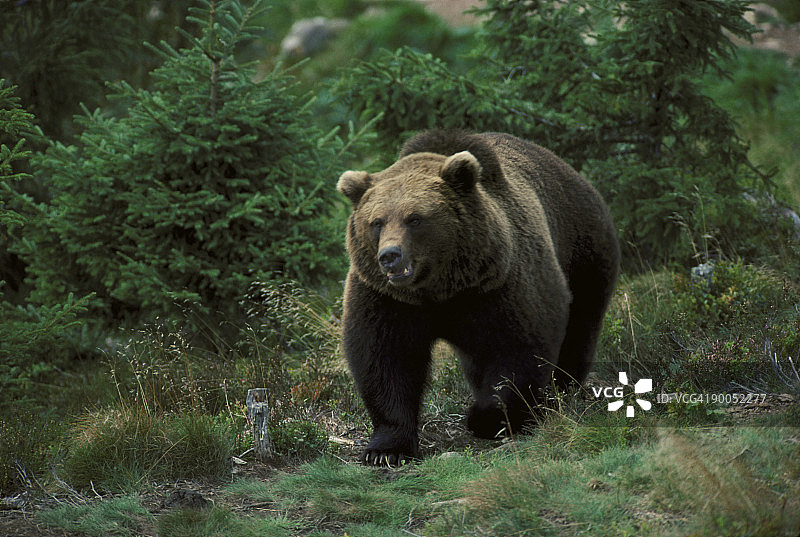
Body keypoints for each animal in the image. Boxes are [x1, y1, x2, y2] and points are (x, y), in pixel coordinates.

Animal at [337, 130, 620, 466]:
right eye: (376, 222)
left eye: (415, 219)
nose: (390, 256)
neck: (442, 288)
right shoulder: (387, 297)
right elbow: (385, 358)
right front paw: (386, 449)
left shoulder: (501, 284)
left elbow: (518, 347)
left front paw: (490, 417)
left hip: (584, 250)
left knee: (581, 324)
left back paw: (562, 389)